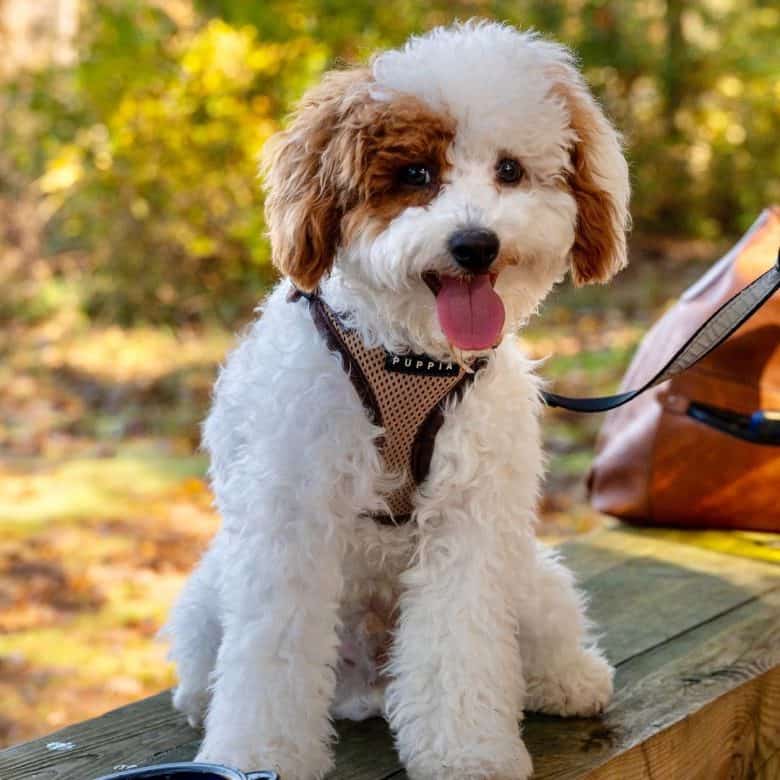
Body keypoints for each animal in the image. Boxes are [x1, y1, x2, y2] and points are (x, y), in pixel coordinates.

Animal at [163, 22, 628, 780]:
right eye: (415, 176)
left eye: (509, 170)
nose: (475, 244)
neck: (410, 354)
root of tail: (367, 683)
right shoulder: (290, 518)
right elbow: (273, 656)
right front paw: (260, 754)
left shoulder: (471, 523)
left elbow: (459, 646)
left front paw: (469, 752)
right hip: (209, 596)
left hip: (527, 575)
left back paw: (568, 679)